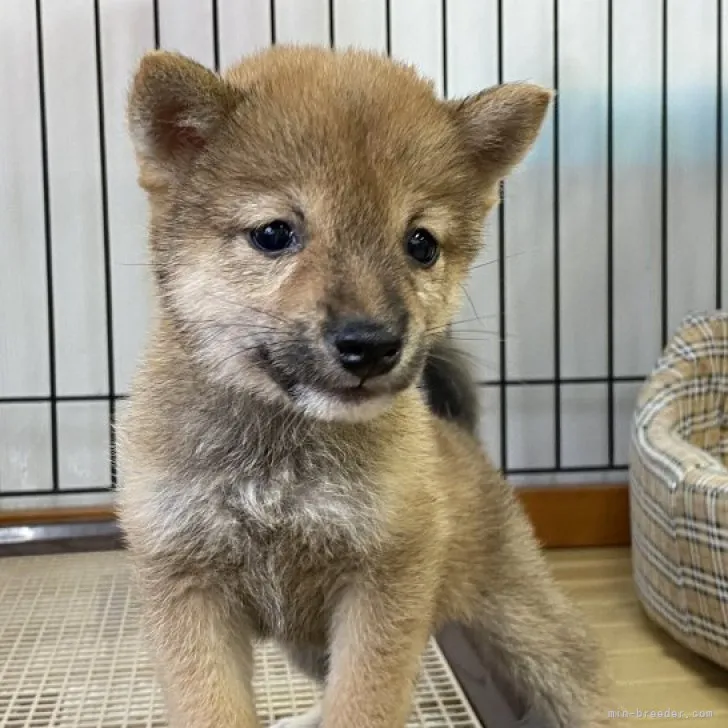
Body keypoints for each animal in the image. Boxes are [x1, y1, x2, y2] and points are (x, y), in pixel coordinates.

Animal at [118, 47, 608, 728]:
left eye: (421, 243)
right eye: (274, 234)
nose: (372, 344)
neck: (278, 467)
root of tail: (458, 436)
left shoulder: (384, 584)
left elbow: (364, 703)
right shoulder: (188, 586)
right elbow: (216, 707)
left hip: (526, 627)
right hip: (310, 642)